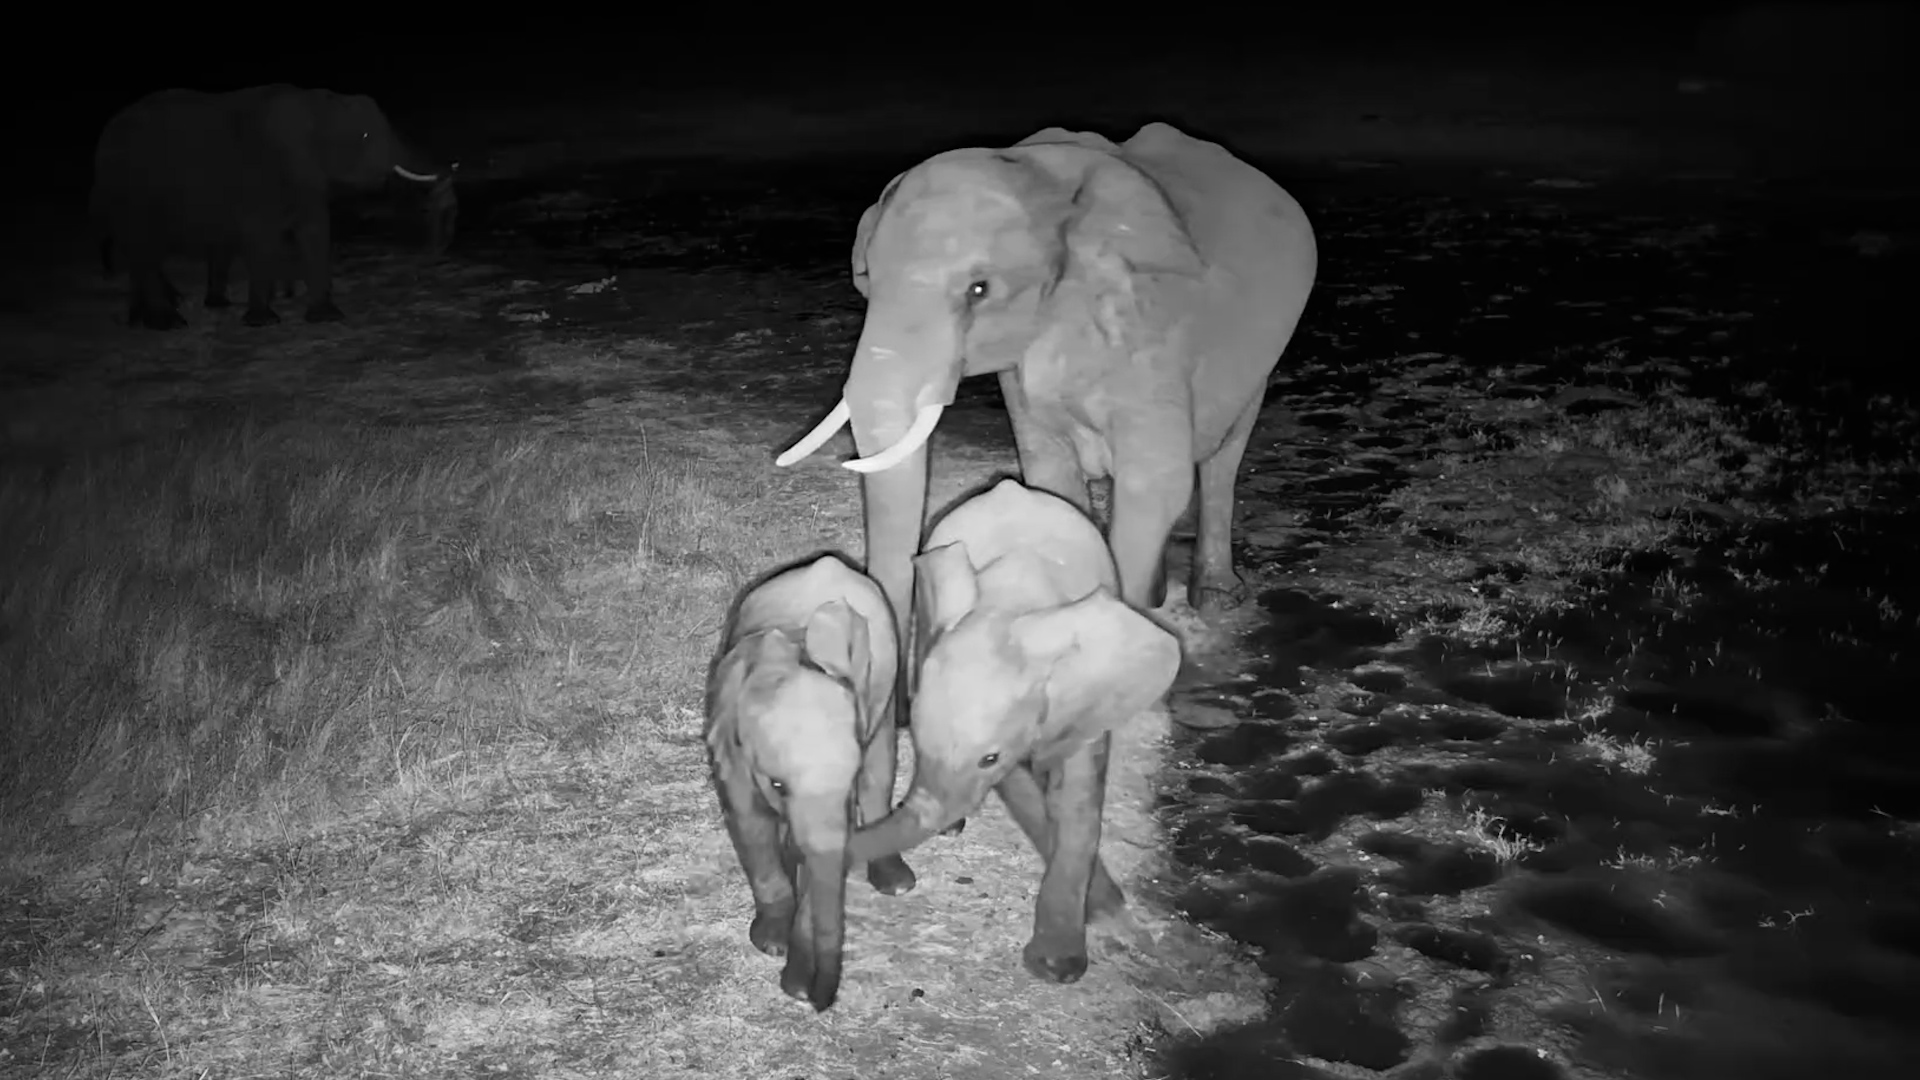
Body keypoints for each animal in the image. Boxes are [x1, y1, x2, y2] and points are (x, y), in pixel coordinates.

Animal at [89, 84, 455, 330]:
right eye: (365, 135)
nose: (451, 170)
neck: (312, 104)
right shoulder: (261, 175)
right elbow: (262, 237)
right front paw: (264, 321)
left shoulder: (307, 177)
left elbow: (315, 230)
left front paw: (326, 317)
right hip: (130, 191)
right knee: (144, 248)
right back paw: (168, 322)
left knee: (141, 253)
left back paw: (150, 317)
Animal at [705, 553, 917, 1012]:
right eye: (777, 785)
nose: (816, 1002)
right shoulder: (727, 738)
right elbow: (748, 821)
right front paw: (771, 943)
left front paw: (795, 978)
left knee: (880, 767)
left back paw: (896, 884)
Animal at [775, 121, 1317, 699]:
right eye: (868, 279)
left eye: (979, 290)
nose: (900, 707)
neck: (1045, 185)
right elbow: (1050, 472)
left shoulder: (1155, 329)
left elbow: (1155, 484)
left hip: (1259, 360)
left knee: (1222, 459)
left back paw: (1215, 598)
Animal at [847, 479, 1182, 984]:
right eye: (918, 743)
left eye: (990, 757)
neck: (1012, 604)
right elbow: (1022, 791)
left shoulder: (1088, 695)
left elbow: (1079, 795)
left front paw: (1068, 957)